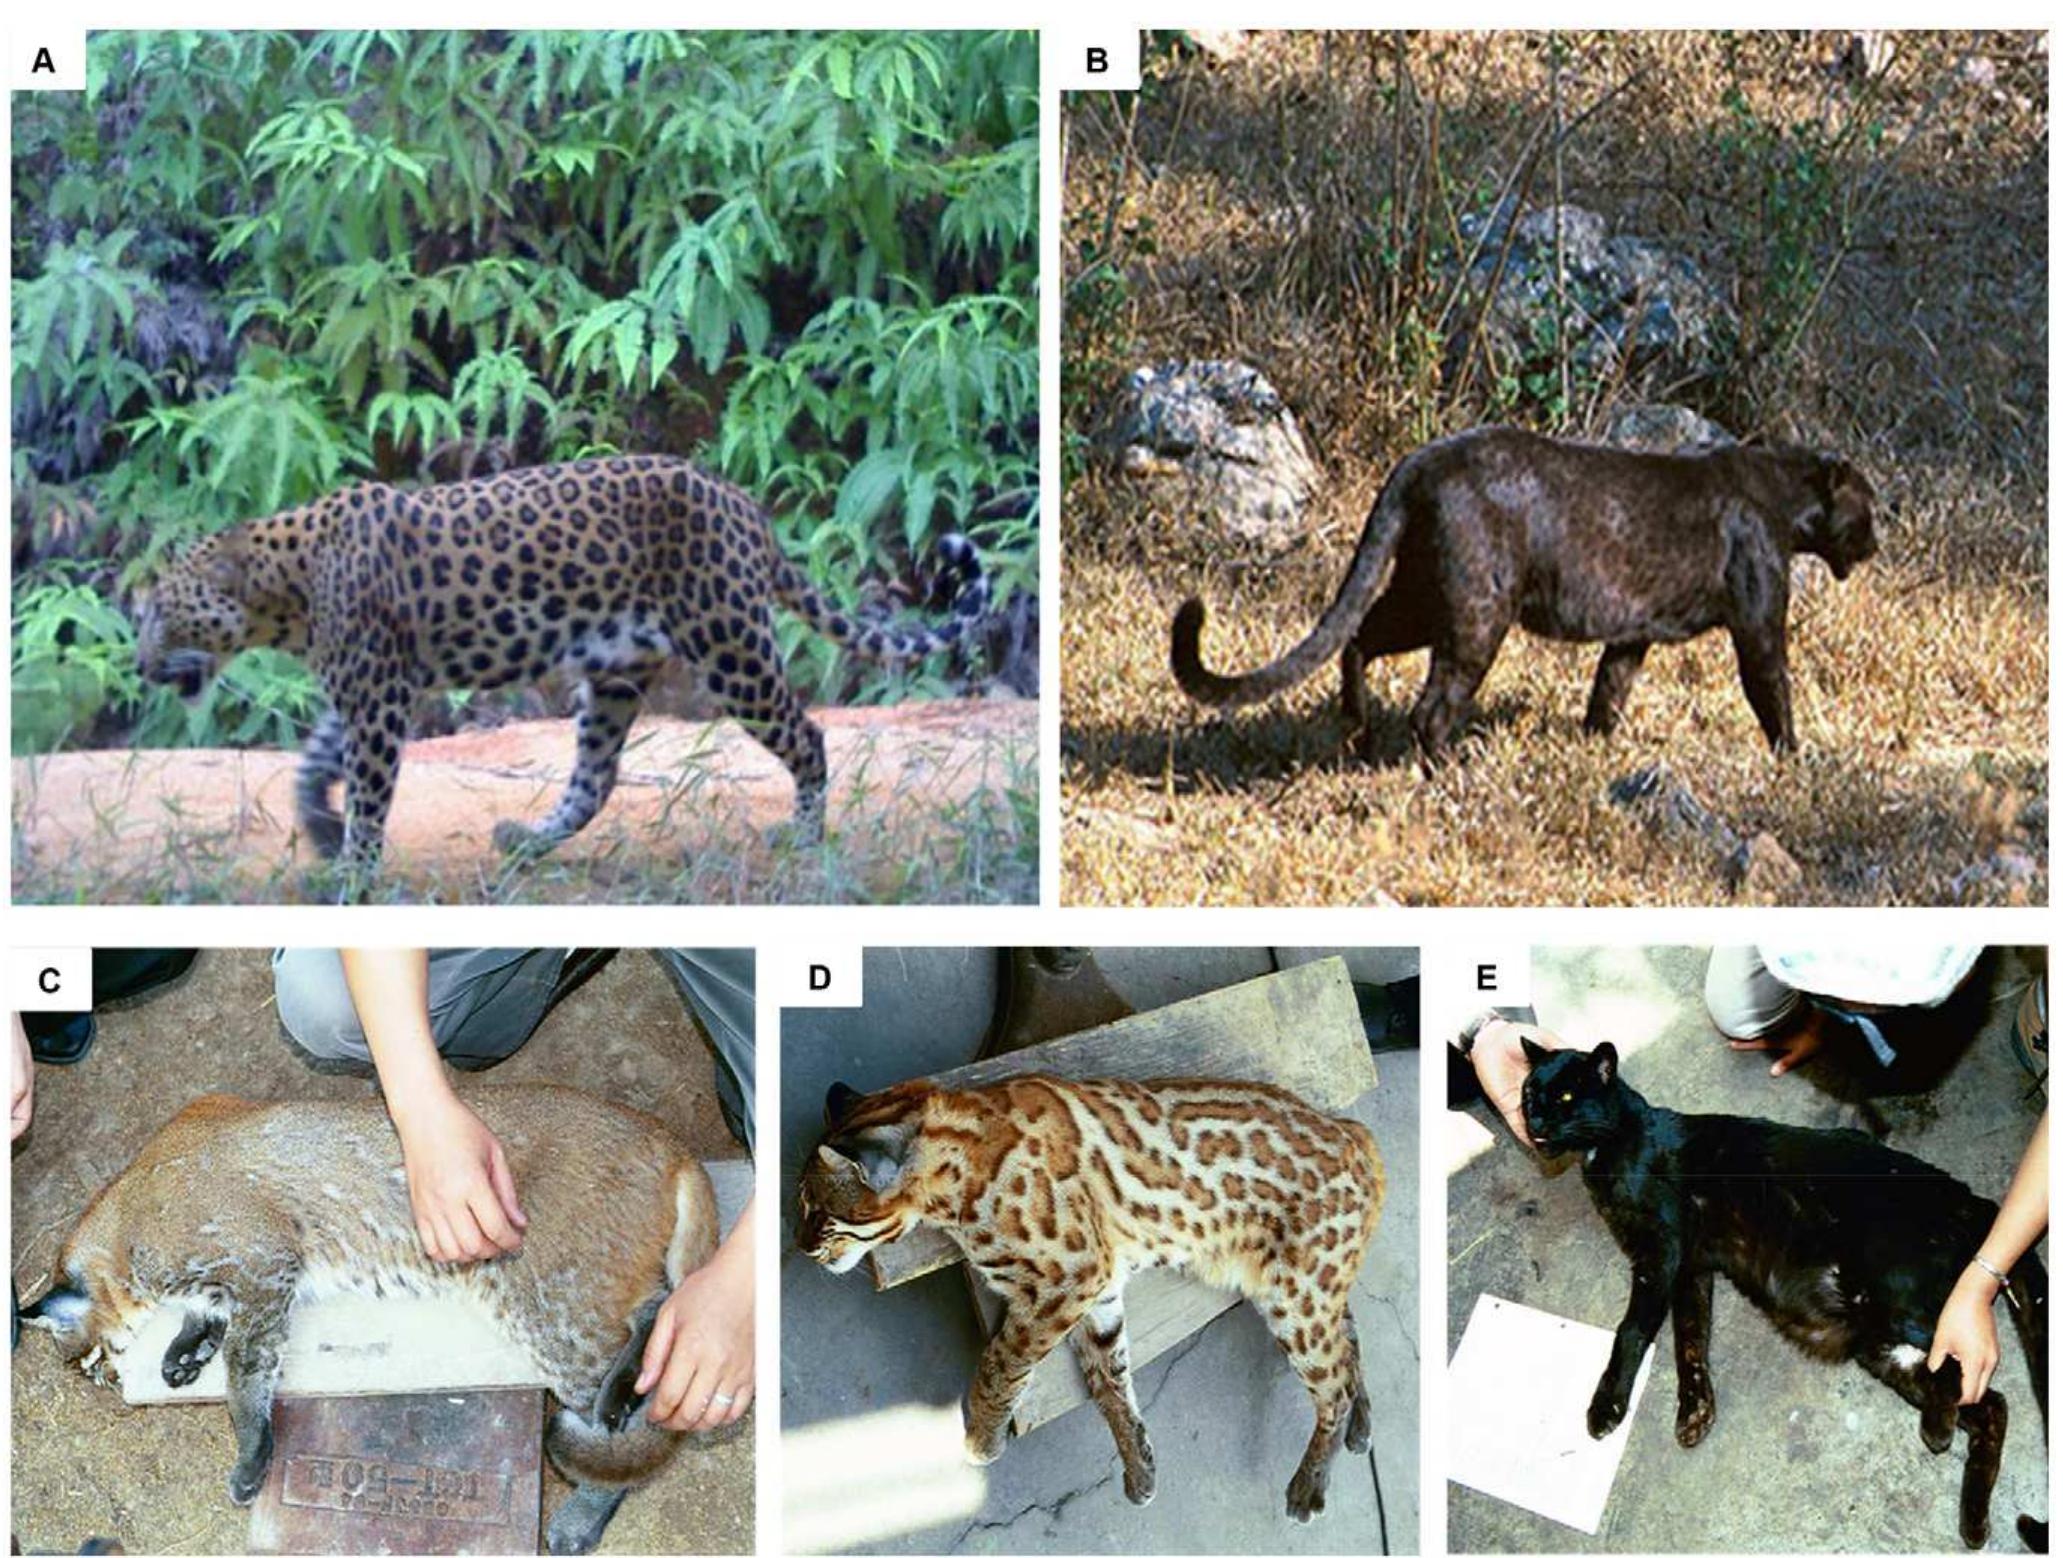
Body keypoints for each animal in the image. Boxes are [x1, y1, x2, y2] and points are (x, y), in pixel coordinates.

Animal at [130, 455, 988, 885]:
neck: (287, 591)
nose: (138, 667)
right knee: (595, 777)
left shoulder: (377, 696)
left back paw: (806, 839)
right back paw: (528, 840)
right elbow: (314, 760)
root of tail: (748, 509)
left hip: (729, 645)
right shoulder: (363, 688)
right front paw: (319, 826)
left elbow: (370, 794)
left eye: (162, 614)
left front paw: (353, 875)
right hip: (614, 674)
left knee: (807, 735)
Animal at [798, 1073, 1386, 1522]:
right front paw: (1139, 1461)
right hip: (1307, 1288)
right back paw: (1361, 1424)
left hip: (1298, 1295)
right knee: (1349, 1341)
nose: (800, 1249)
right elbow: (1108, 1375)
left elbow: (999, 1367)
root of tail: (1352, 1130)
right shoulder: (1095, 1287)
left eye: (817, 1211)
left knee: (1333, 1383)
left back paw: (1313, 1478)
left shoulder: (1068, 1278)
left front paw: (983, 1439)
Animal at [1170, 426, 1878, 761]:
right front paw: (1795, 760)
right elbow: (1771, 689)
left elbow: (1610, 688)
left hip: (1423, 597)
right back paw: (1451, 772)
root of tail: (1420, 461)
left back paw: (1359, 730)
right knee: (1431, 708)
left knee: (1359, 639)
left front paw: (1595, 747)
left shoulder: (1633, 631)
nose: (1876, 542)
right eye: (1869, 507)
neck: (1786, 498)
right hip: (1477, 611)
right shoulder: (1758, 621)